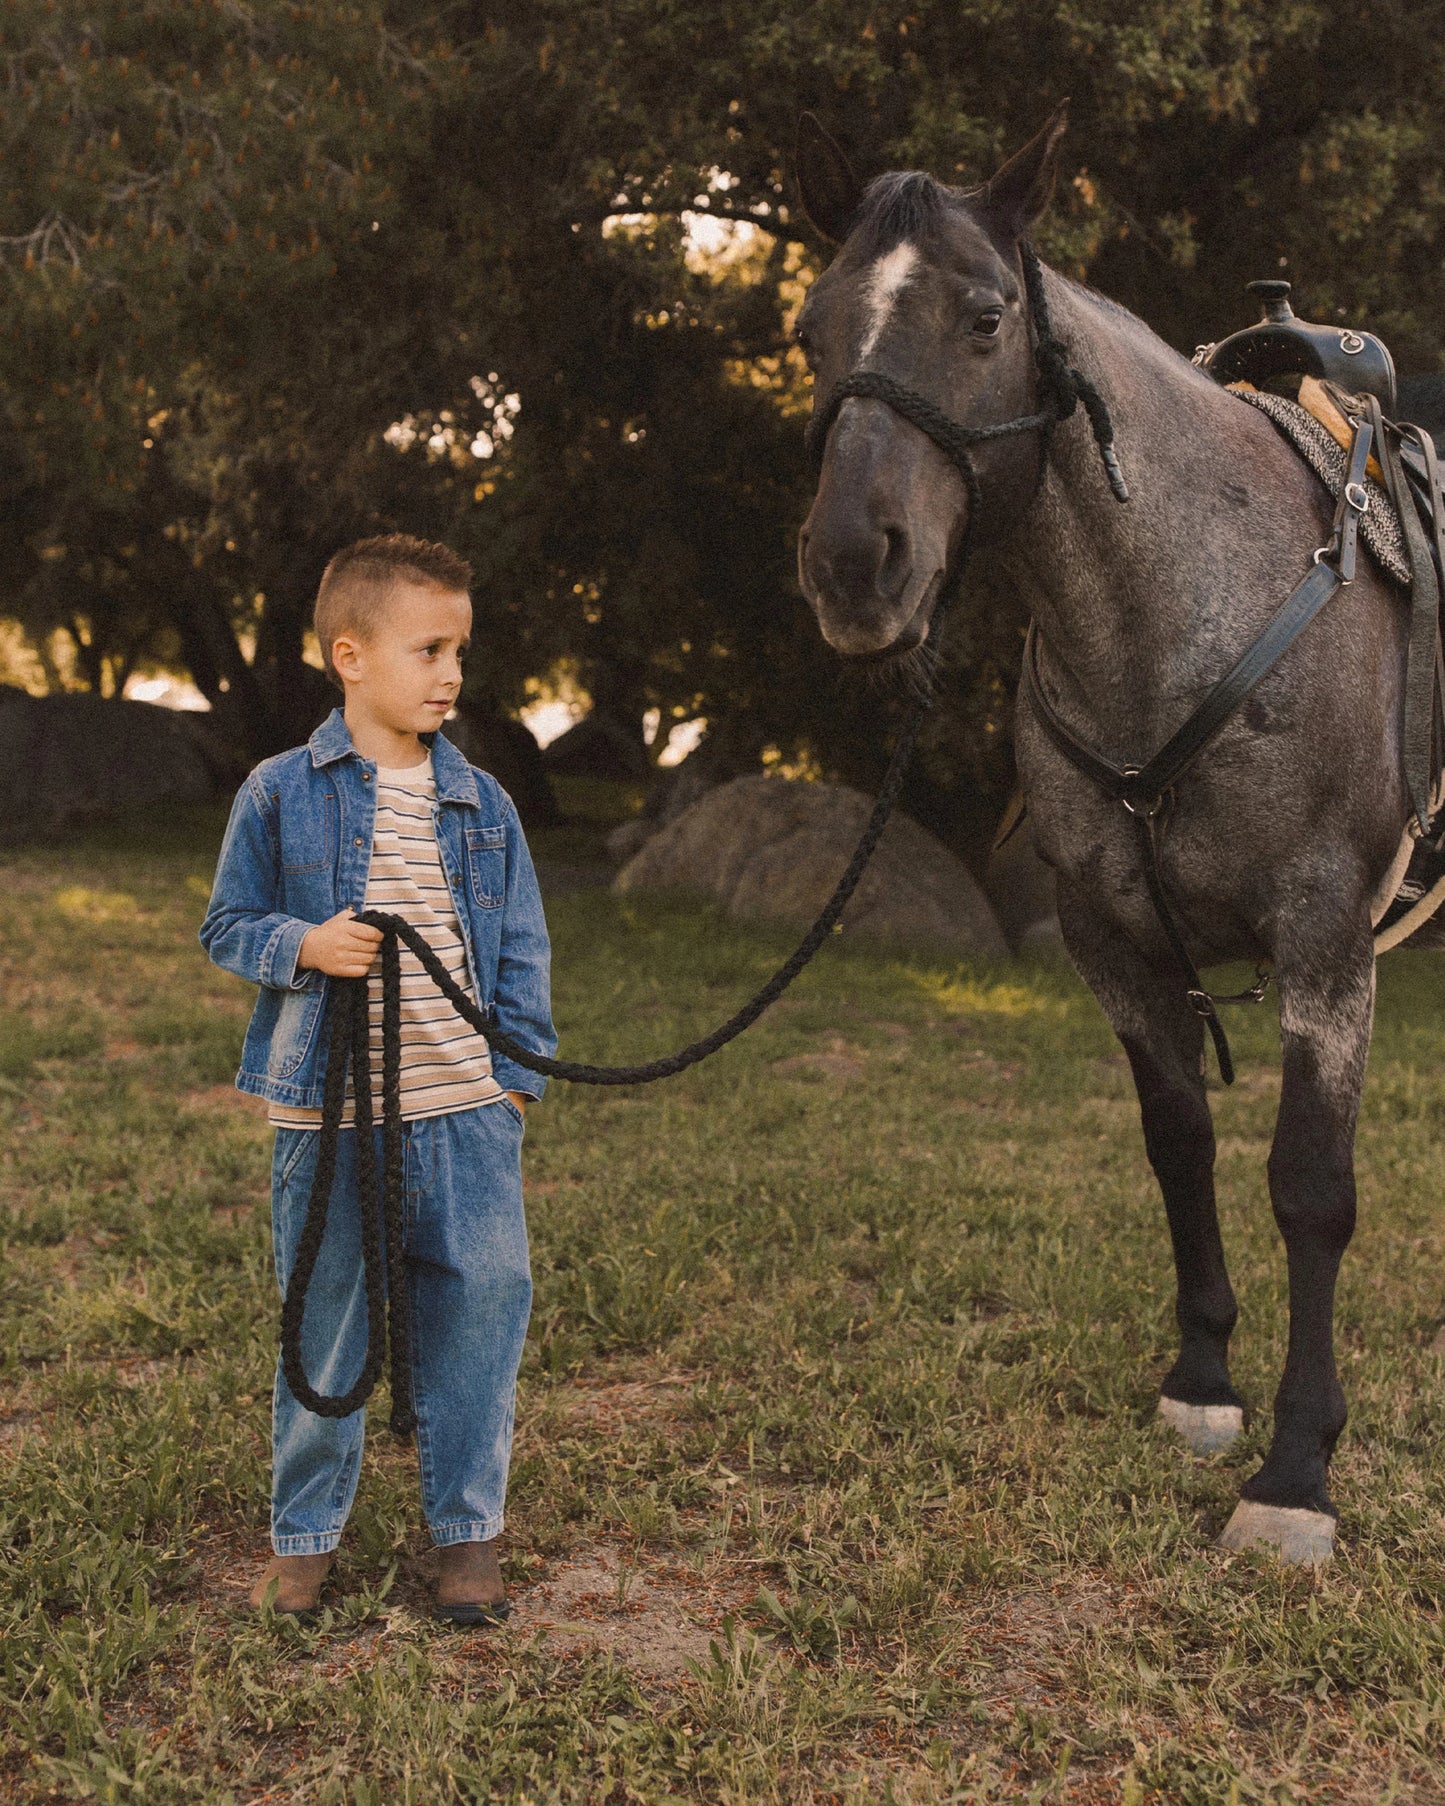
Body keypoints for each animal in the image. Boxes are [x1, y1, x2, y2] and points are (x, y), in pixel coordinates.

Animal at [791, 109, 1430, 1567]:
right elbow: (1177, 1139)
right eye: (810, 329)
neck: (1189, 608)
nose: (854, 563)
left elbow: (1310, 1186)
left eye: (982, 317)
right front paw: (1202, 1382)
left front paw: (1295, 1470)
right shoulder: (1110, 939)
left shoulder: (1325, 942)